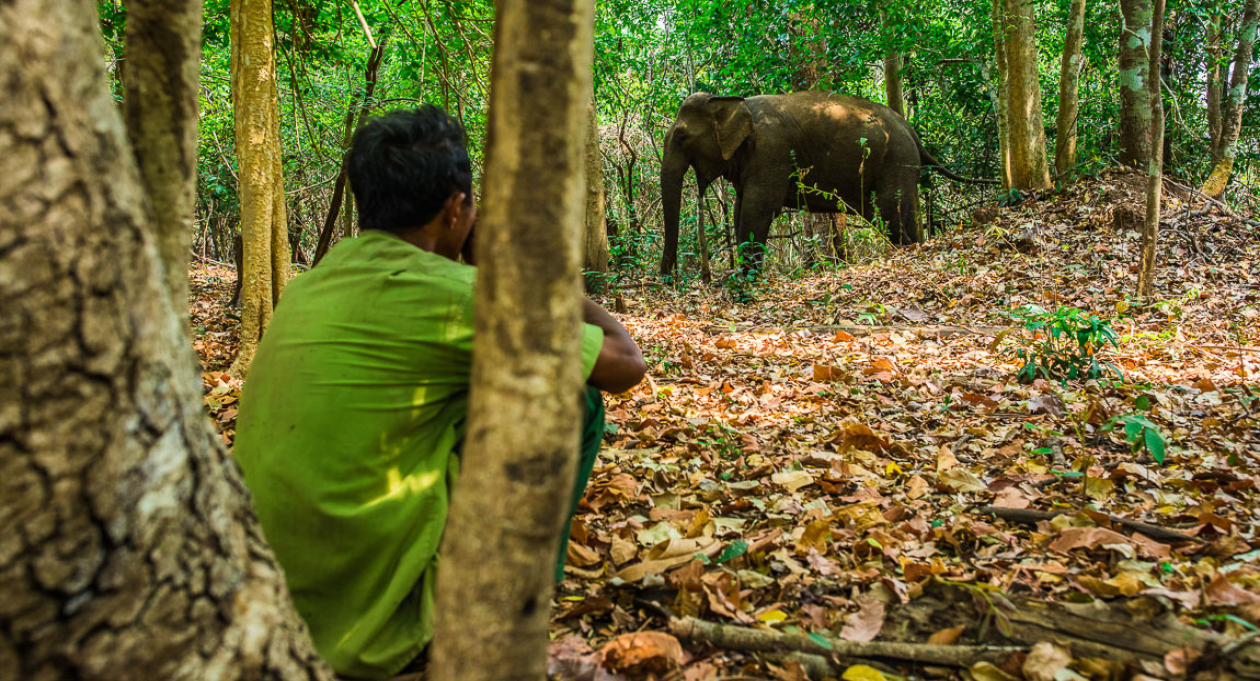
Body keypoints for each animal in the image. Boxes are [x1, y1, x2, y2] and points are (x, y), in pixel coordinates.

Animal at [660, 90, 992, 273]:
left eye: (682, 137)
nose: (667, 278)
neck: (732, 101)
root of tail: (911, 131)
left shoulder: (772, 149)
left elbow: (758, 208)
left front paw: (745, 280)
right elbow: (742, 207)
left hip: (896, 158)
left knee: (891, 211)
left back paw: (905, 250)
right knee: (899, 212)